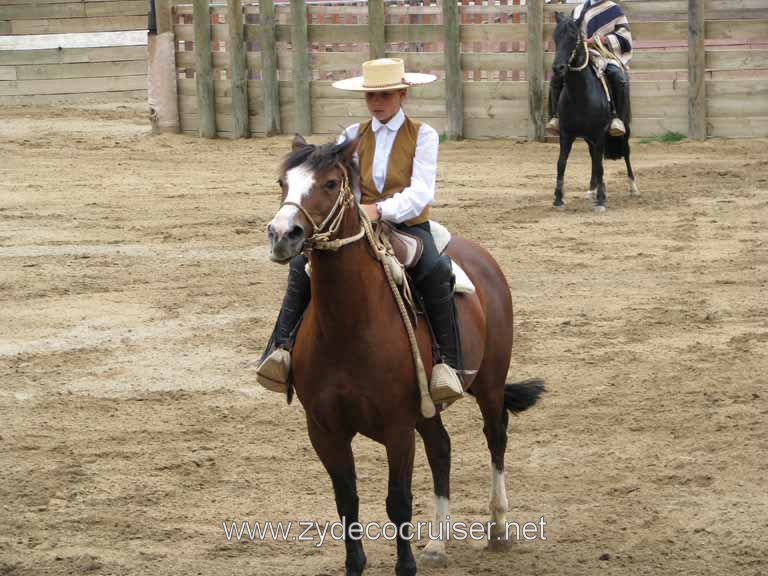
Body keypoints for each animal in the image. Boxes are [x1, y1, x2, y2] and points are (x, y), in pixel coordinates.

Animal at [268, 133, 544, 572]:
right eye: (283, 182)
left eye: (330, 183)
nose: (282, 234)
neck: (348, 325)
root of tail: (483, 260)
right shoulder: (324, 428)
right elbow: (347, 501)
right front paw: (356, 564)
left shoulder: (397, 426)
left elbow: (397, 501)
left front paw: (406, 565)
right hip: (428, 409)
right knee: (442, 449)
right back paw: (438, 542)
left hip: (489, 384)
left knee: (495, 435)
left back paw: (498, 527)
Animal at [556, 10, 640, 213]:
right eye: (555, 37)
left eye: (573, 37)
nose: (558, 68)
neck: (579, 95)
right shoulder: (566, 134)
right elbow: (561, 163)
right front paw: (558, 199)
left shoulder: (599, 134)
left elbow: (600, 166)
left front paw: (601, 201)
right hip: (588, 139)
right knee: (594, 159)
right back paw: (593, 190)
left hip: (624, 129)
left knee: (625, 152)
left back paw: (632, 187)